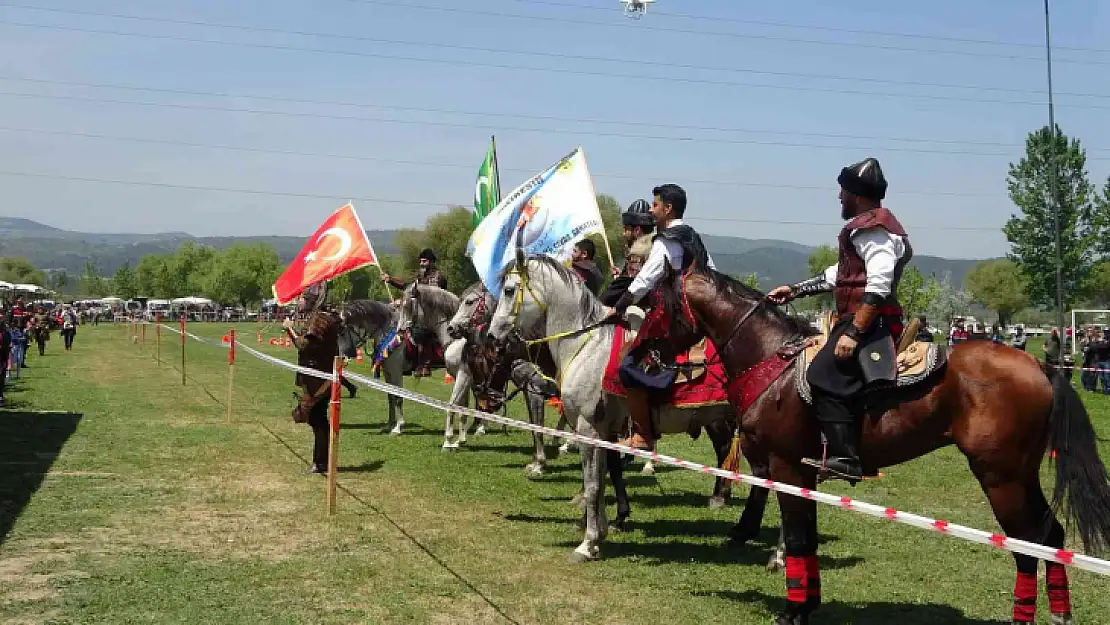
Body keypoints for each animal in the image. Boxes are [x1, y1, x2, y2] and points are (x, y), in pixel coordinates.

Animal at [490, 254, 777, 568]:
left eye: (508, 290)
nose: (493, 336)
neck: (587, 346)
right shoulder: (606, 432)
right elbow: (604, 477)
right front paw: (601, 529)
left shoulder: (589, 428)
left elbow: (593, 483)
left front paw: (588, 543)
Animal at [648, 267, 1110, 625]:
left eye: (653, 303)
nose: (649, 357)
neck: (772, 360)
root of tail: (1039, 366)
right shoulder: (802, 473)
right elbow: (807, 540)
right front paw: (807, 604)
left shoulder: (786, 468)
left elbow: (796, 539)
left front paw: (793, 611)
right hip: (1022, 474)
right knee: (1050, 534)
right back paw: (1059, 612)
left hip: (1001, 477)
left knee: (1025, 543)